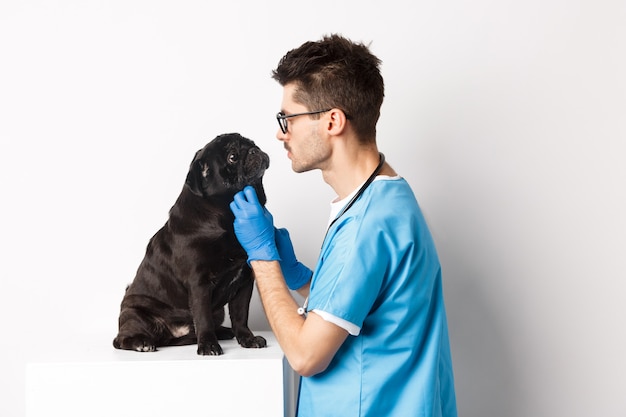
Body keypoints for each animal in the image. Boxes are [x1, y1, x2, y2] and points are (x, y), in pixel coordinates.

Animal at [114, 133, 268, 354]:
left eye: (253, 144)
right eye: (232, 157)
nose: (255, 150)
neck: (227, 215)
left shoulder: (244, 281)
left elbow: (240, 316)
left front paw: (247, 338)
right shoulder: (199, 283)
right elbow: (202, 318)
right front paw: (208, 345)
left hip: (218, 312)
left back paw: (223, 332)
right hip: (135, 314)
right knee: (120, 340)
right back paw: (141, 343)